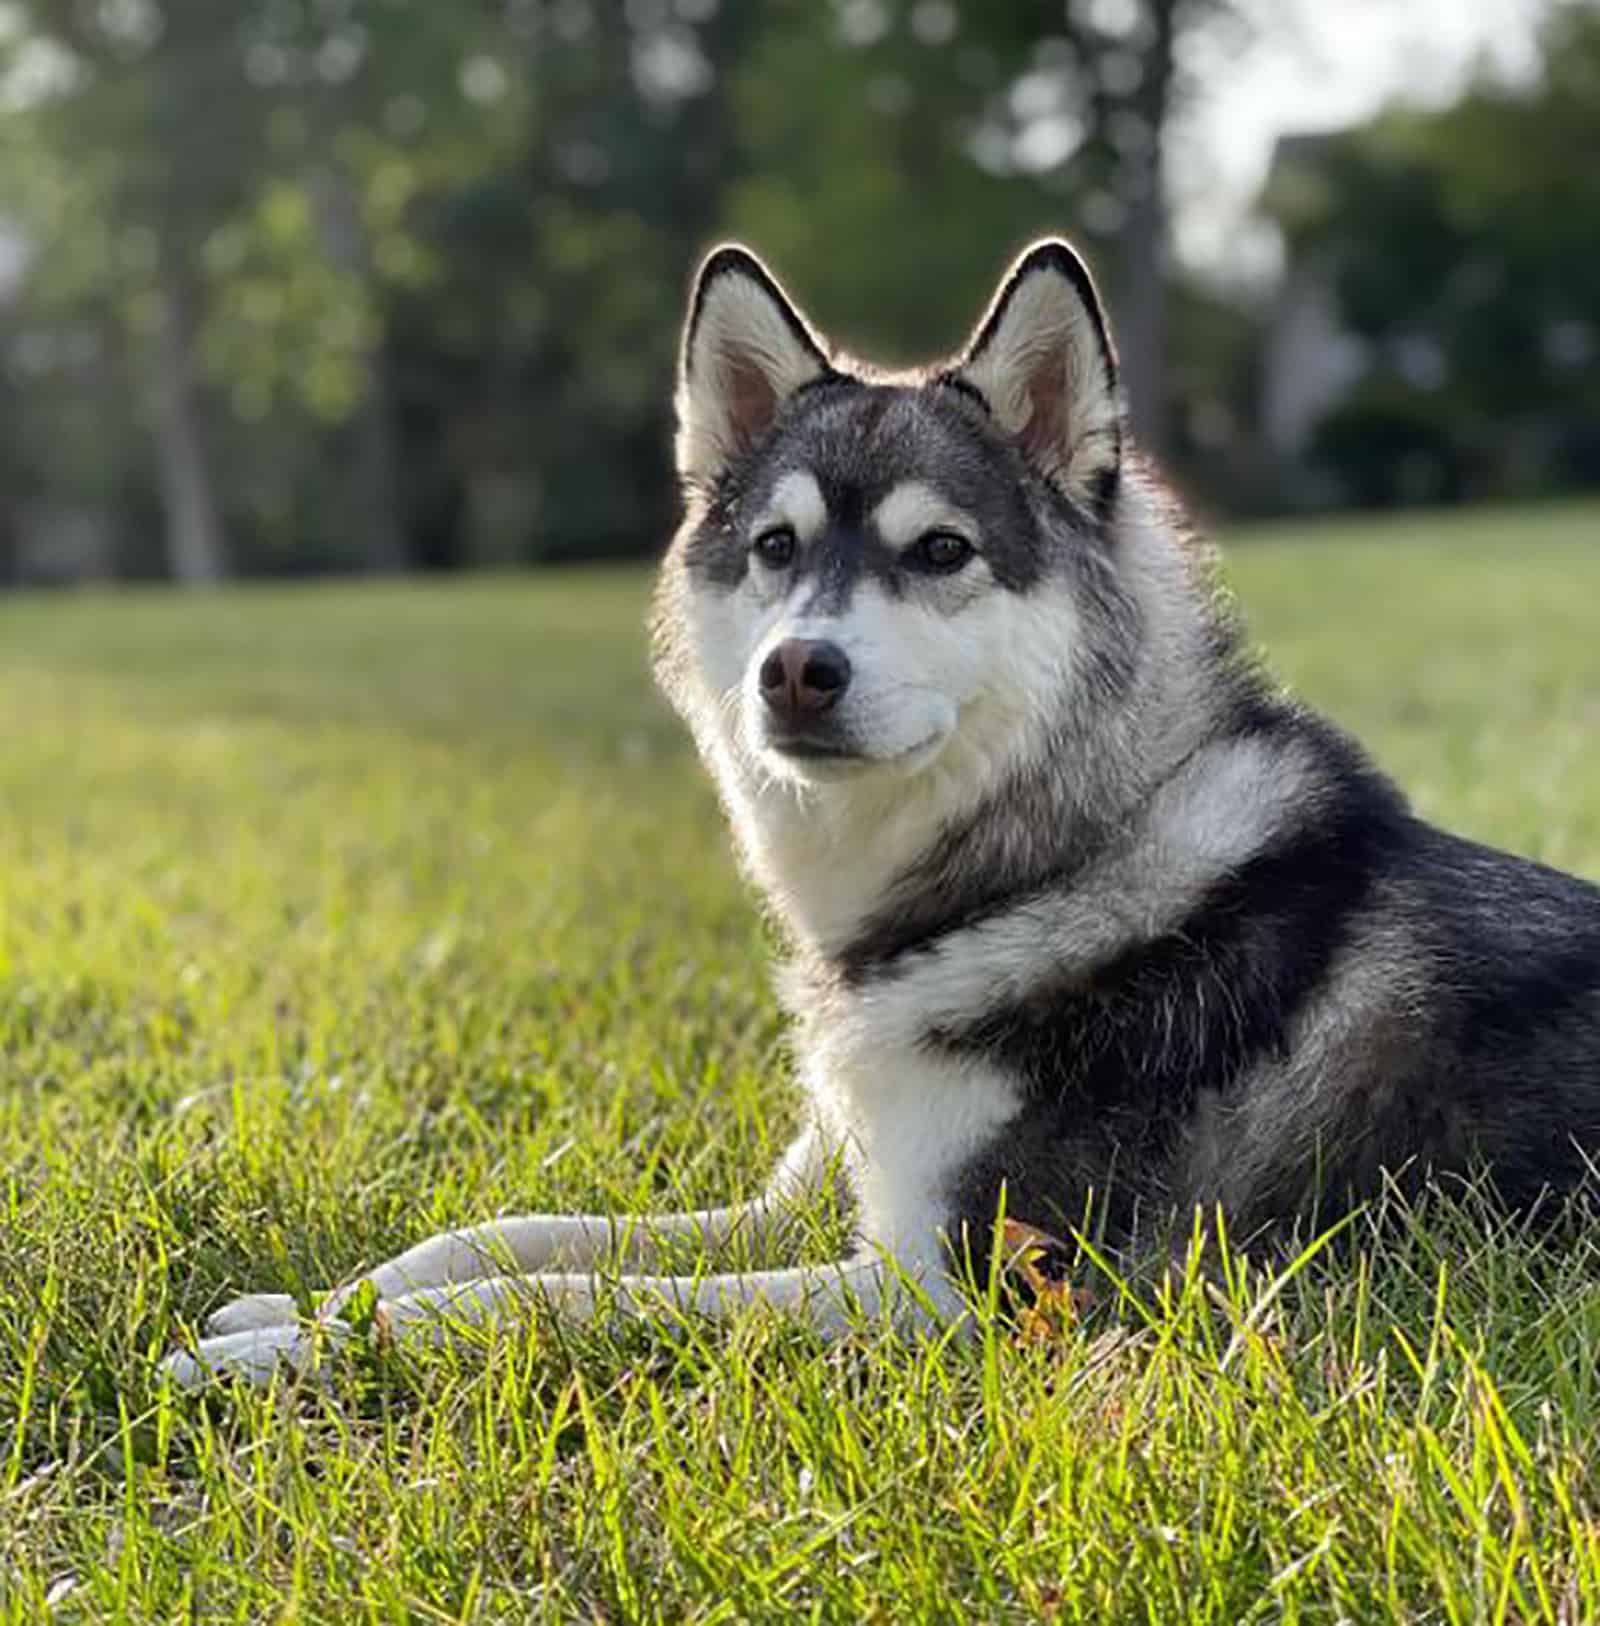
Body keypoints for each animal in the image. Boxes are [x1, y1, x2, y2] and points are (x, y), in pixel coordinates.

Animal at [162, 240, 1600, 1385]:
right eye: (776, 549)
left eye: (940, 551)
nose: (796, 670)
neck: (1049, 863)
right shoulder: (810, 1204)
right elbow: (511, 1235)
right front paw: (309, 1299)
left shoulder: (967, 1289)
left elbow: (552, 1296)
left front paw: (278, 1351)